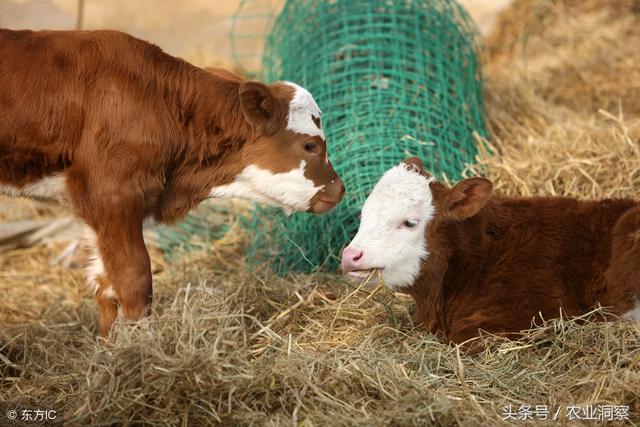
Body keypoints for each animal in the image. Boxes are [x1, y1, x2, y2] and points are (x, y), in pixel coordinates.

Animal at [0, 29, 344, 338]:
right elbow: (134, 280)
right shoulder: (114, 194)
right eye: (310, 145)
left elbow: (105, 285)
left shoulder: (94, 208)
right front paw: (139, 351)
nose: (339, 188)